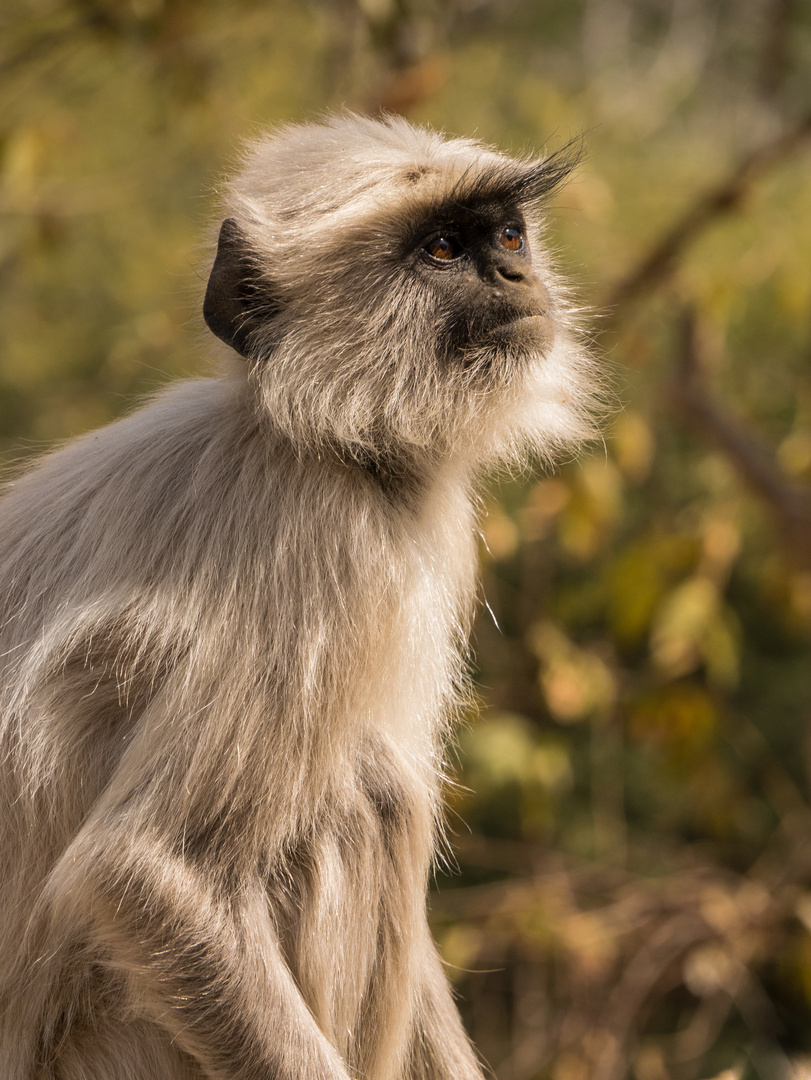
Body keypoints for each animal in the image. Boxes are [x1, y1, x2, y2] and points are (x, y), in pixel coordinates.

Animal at [0, 113, 596, 1075]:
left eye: (505, 236)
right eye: (440, 250)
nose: (515, 277)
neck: (310, 439)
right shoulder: (318, 543)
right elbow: (147, 870)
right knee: (370, 796)